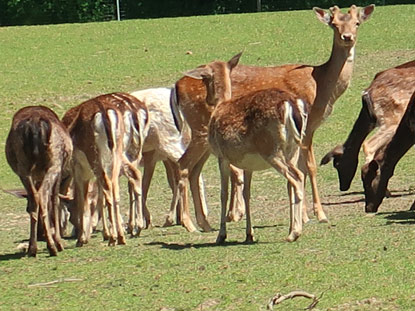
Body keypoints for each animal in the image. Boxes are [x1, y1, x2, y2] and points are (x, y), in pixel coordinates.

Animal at [5, 106, 72, 258]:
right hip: (54, 163)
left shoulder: (37, 176)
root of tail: (35, 122)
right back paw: (53, 246)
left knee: (35, 197)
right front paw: (57, 241)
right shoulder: (60, 171)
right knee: (43, 195)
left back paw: (32, 248)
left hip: (23, 166)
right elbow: (55, 201)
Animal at [63, 92, 150, 246]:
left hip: (97, 156)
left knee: (110, 185)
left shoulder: (79, 169)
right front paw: (106, 232)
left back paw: (117, 236)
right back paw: (130, 230)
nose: (72, 233)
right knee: (129, 179)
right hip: (124, 152)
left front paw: (83, 238)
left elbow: (84, 198)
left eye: (70, 213)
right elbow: (99, 196)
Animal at [174, 4, 376, 227]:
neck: (322, 87)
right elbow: (310, 167)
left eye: (357, 23)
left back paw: (203, 223)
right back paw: (189, 222)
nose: (347, 37)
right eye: (334, 24)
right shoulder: (308, 127)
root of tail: (176, 86)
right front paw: (318, 215)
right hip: (200, 127)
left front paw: (304, 215)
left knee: (194, 169)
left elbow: (300, 168)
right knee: (183, 164)